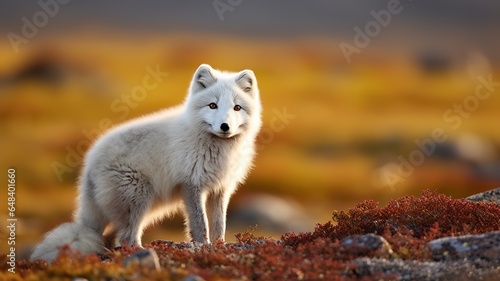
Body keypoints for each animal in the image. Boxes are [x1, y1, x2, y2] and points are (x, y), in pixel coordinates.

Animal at [32, 63, 262, 260]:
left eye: (237, 108)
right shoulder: (192, 185)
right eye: (212, 105)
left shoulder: (220, 188)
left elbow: (219, 223)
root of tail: (89, 165)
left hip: (147, 207)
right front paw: (204, 247)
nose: (225, 126)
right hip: (139, 199)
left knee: (114, 236)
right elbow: (200, 224)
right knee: (126, 237)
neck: (219, 150)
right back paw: (139, 252)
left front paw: (219, 246)